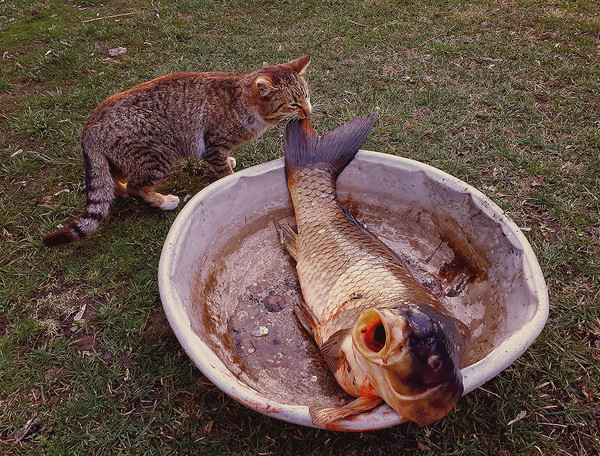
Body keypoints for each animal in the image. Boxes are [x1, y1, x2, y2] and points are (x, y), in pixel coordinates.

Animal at [44, 55, 312, 248]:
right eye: (293, 104)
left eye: (307, 97)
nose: (308, 112)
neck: (243, 100)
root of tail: (89, 127)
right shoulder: (212, 146)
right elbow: (223, 171)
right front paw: (229, 177)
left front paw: (231, 162)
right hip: (159, 153)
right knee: (135, 185)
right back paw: (162, 201)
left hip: (121, 159)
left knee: (113, 182)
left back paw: (119, 191)